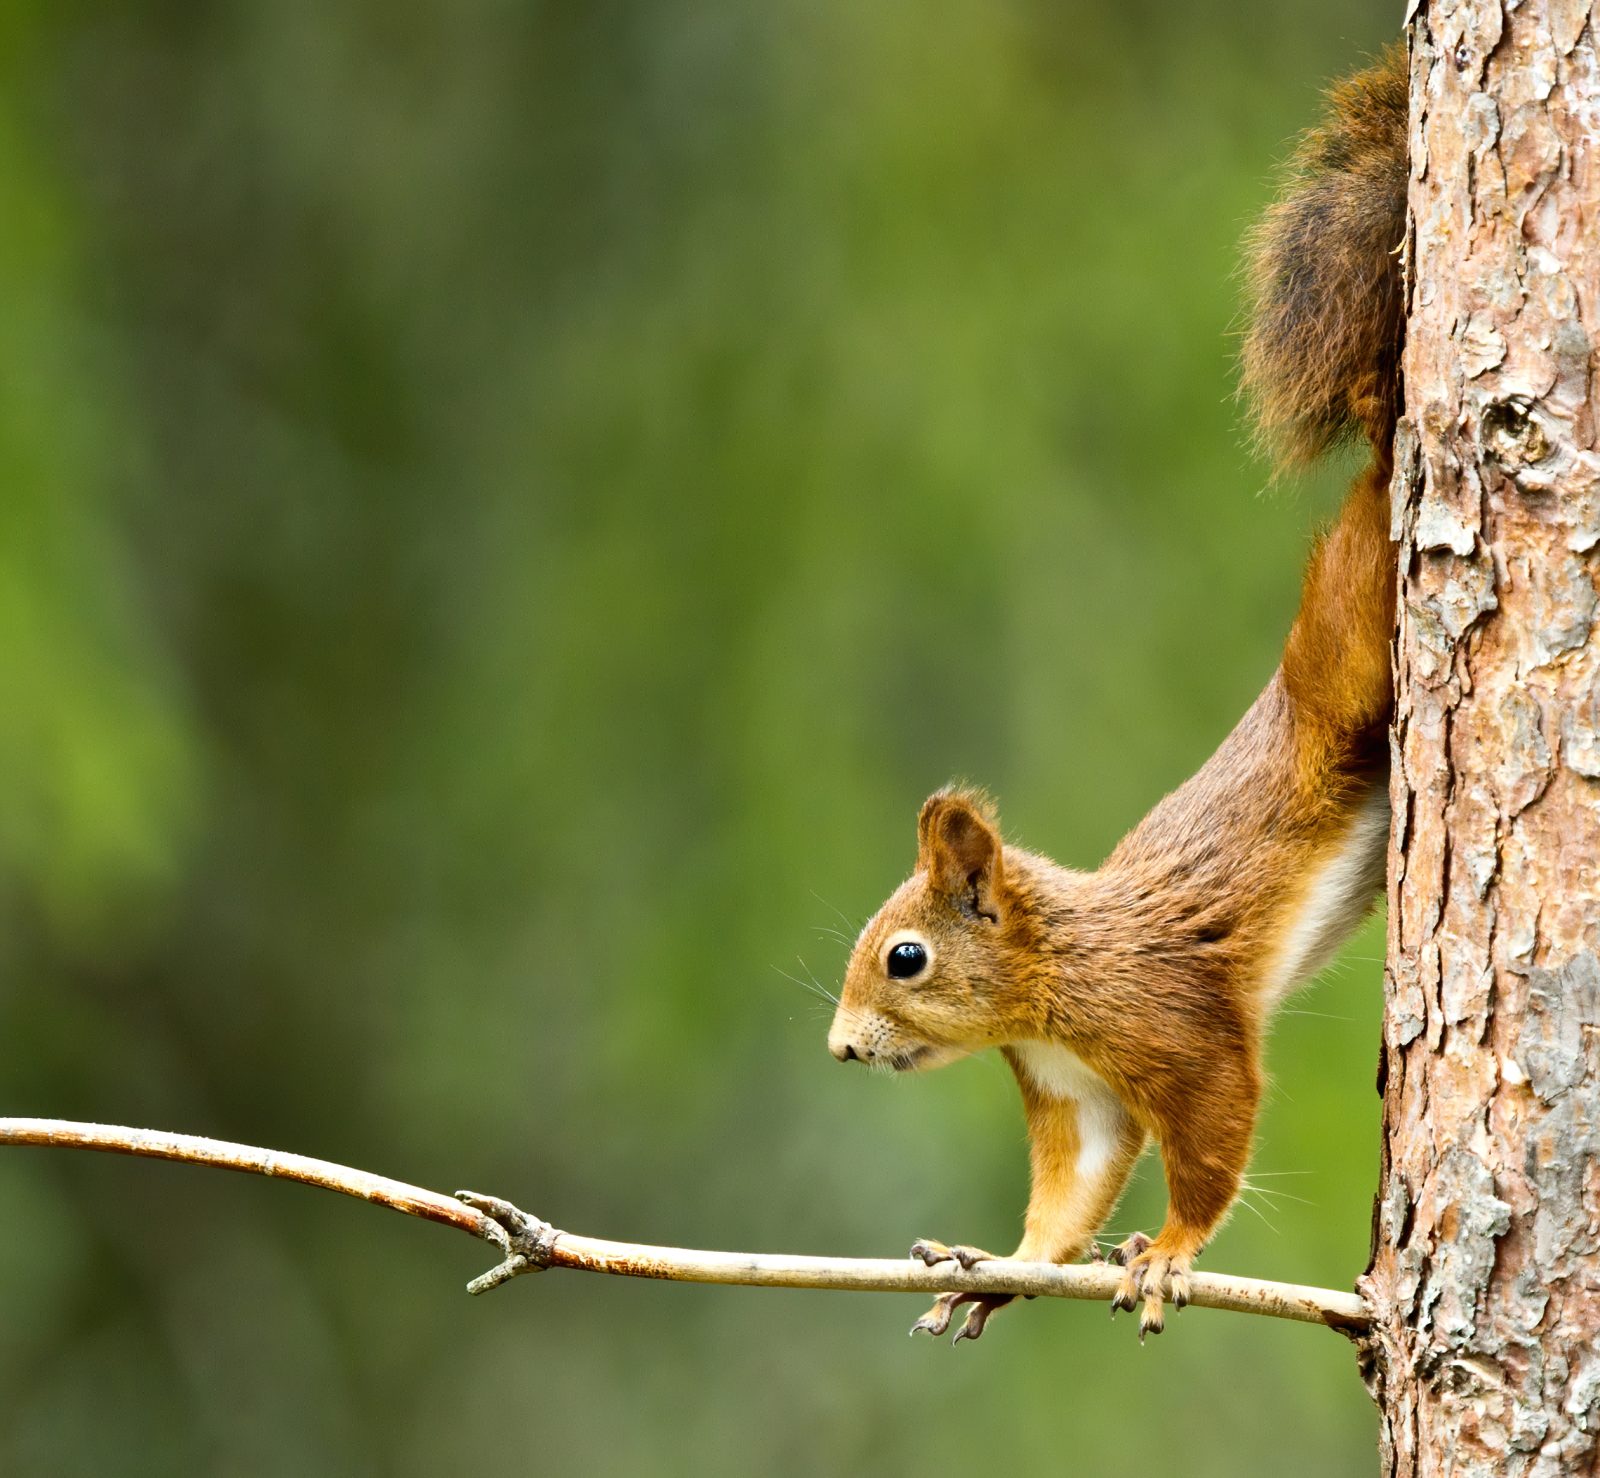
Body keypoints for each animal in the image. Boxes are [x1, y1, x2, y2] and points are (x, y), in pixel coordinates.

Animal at [832, 48, 1408, 1337]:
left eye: (907, 957)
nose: (839, 1050)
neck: (1049, 984)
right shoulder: (1073, 1092)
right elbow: (1068, 1196)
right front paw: (997, 1262)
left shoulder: (1178, 1032)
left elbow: (1212, 1143)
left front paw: (1171, 1253)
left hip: (1352, 644)